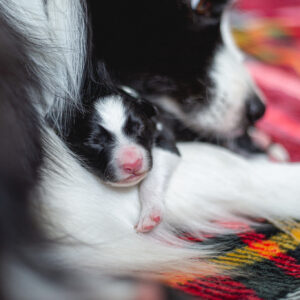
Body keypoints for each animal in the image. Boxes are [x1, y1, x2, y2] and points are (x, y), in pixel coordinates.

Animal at [62, 62, 179, 232]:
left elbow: (153, 176)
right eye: (94, 142)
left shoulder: (165, 139)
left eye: (139, 127)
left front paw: (150, 213)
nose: (133, 164)